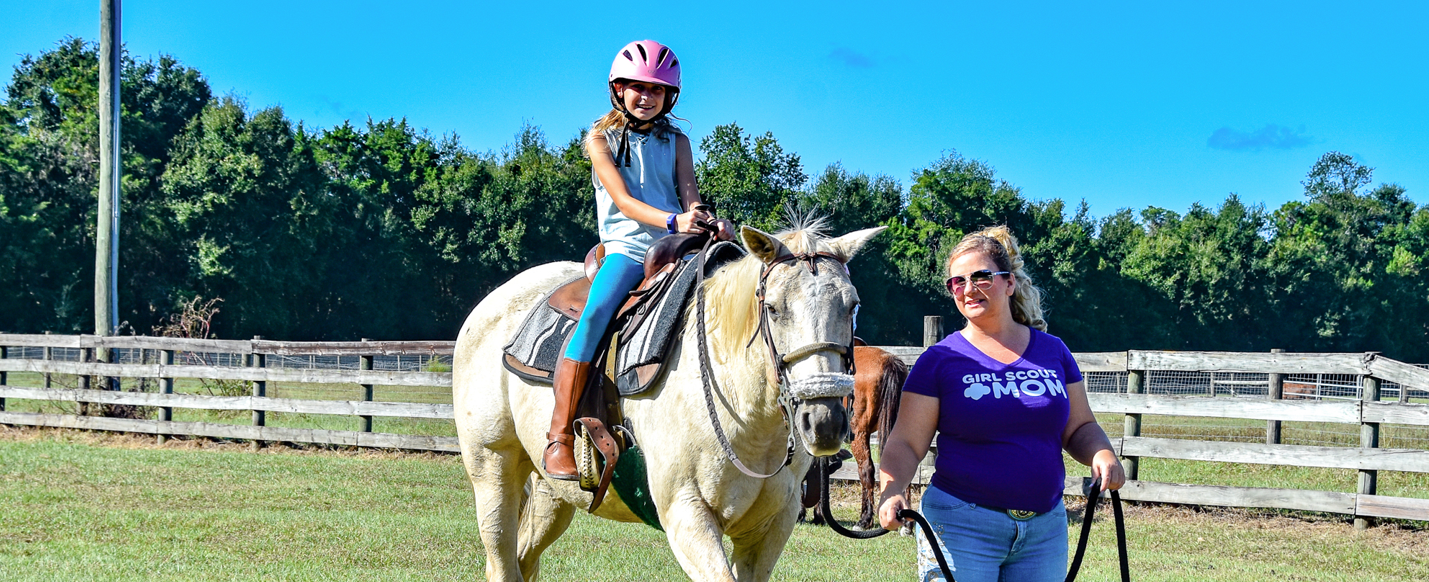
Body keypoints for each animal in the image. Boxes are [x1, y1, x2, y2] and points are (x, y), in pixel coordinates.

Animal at [454, 224, 880, 582]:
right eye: (773, 308)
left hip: (552, 493)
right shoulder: (686, 515)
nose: (823, 422)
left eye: (853, 305)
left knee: (524, 559)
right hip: (493, 470)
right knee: (502, 560)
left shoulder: (771, 527)